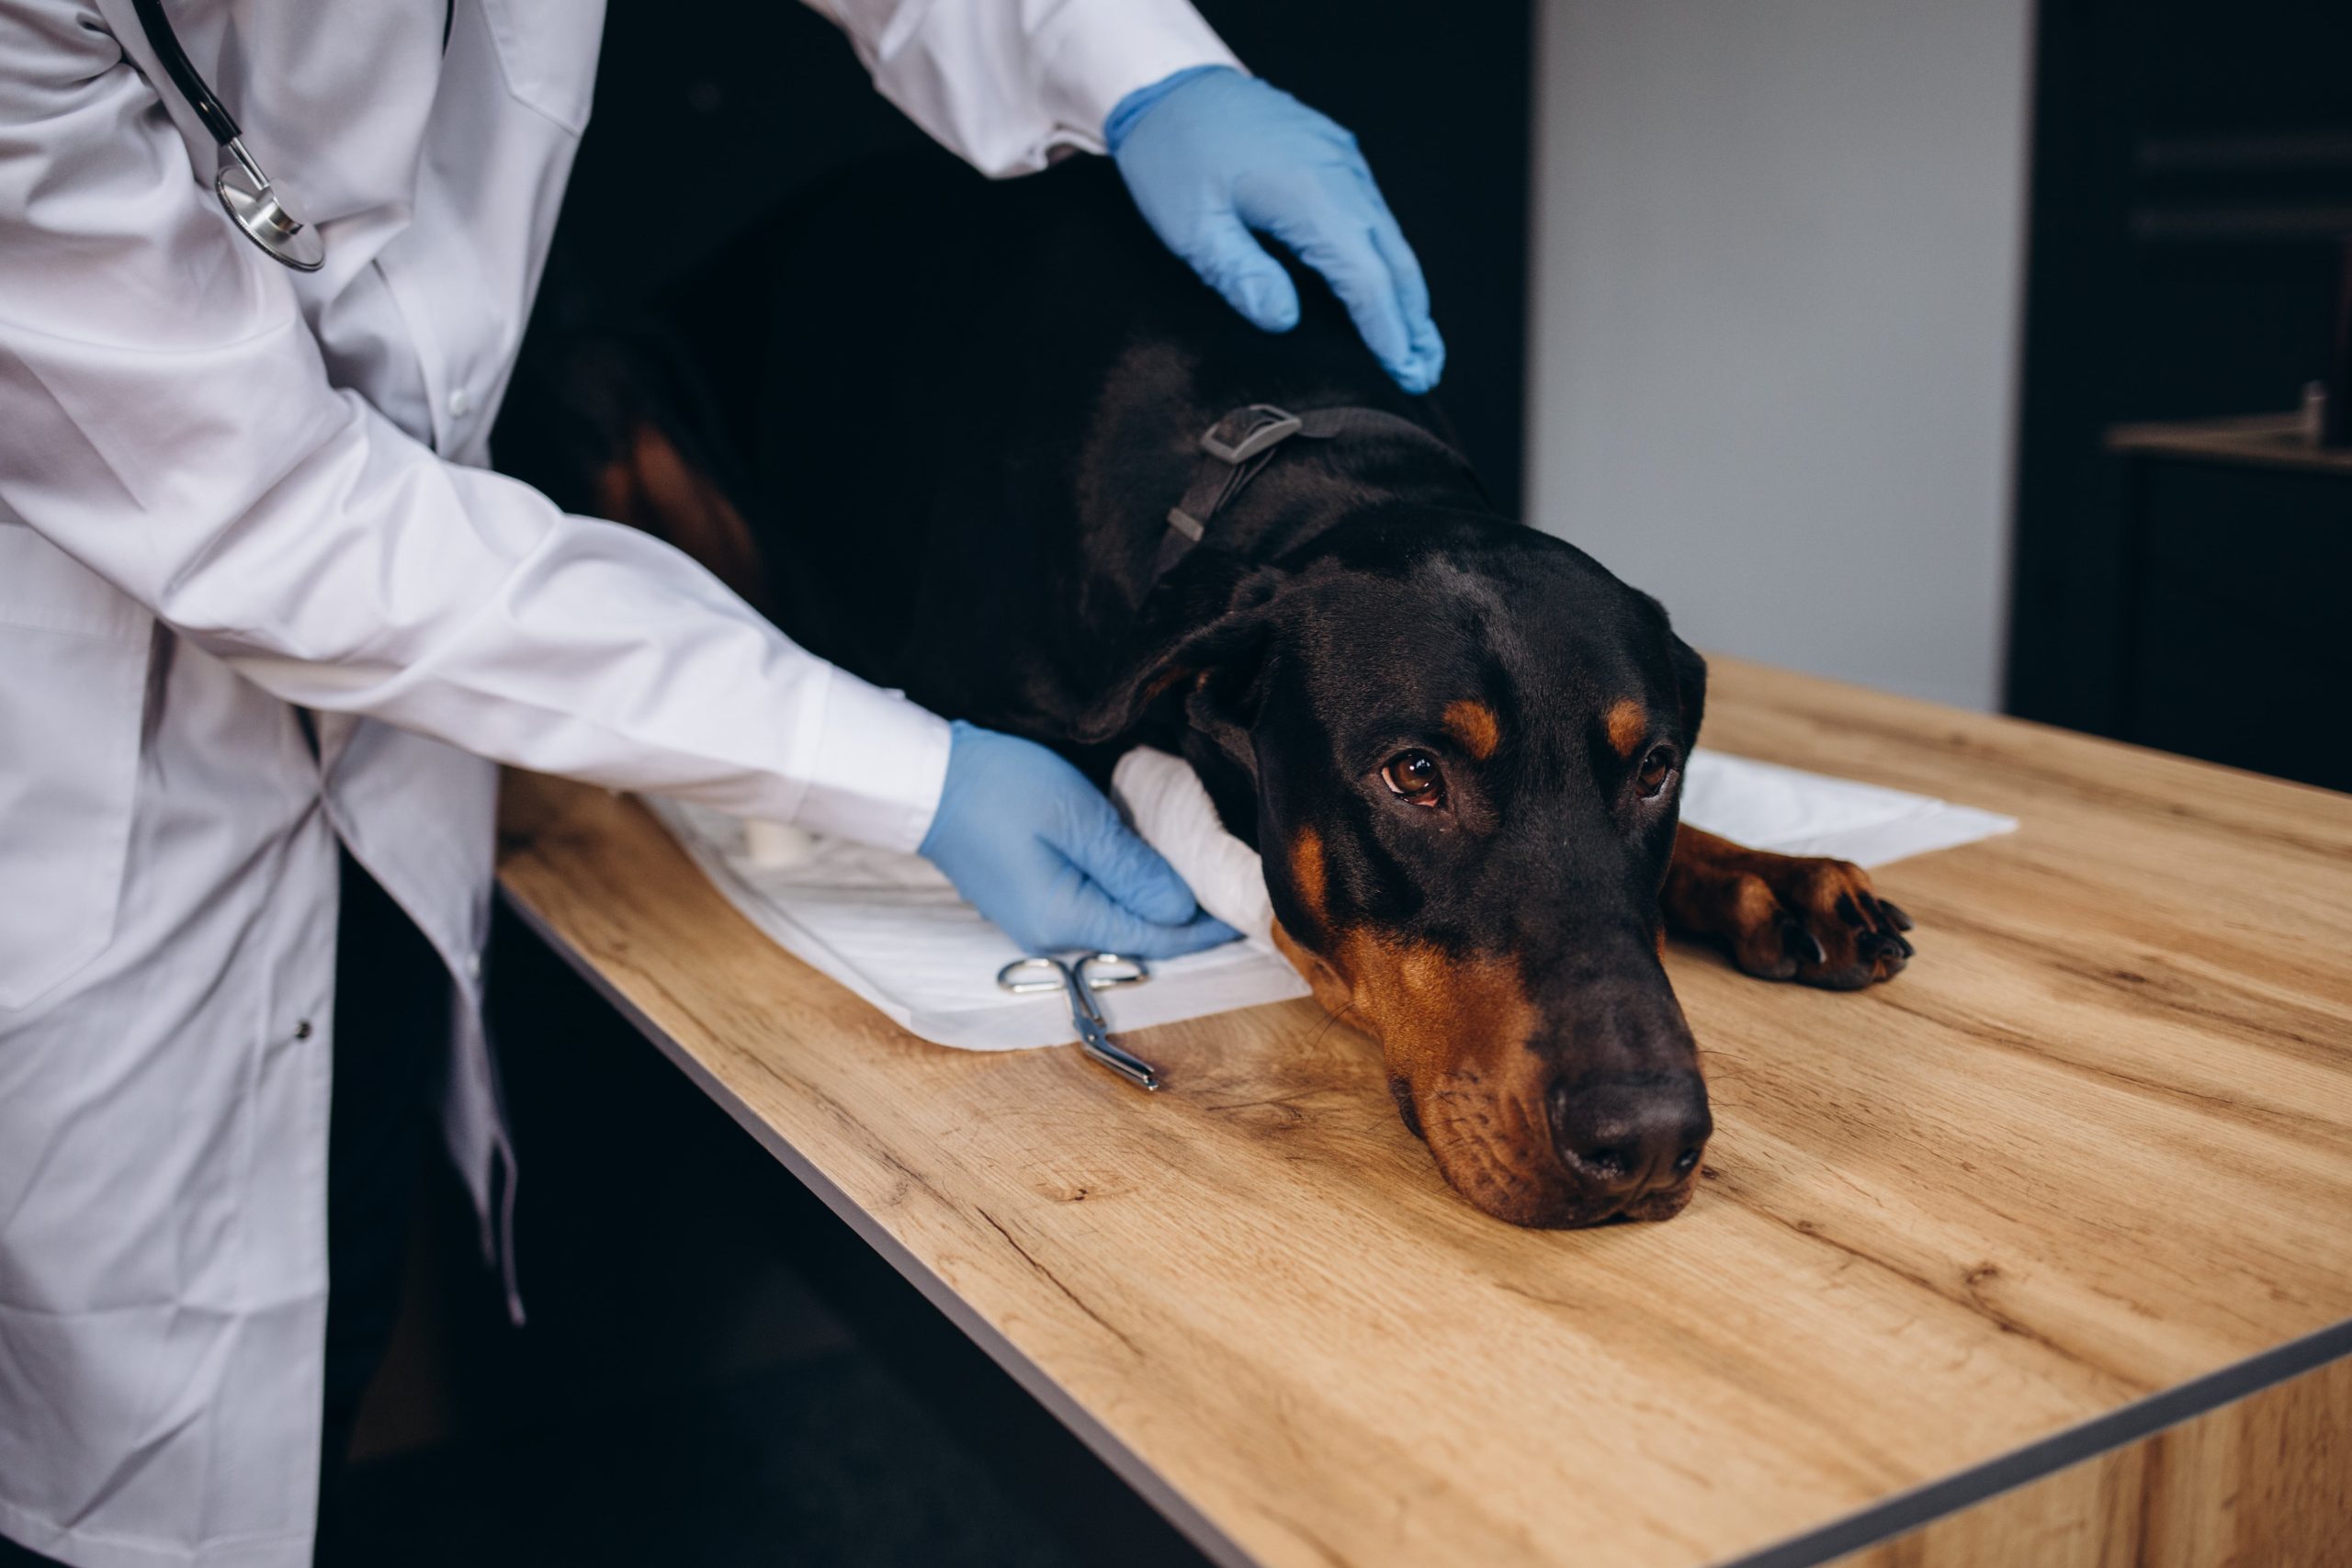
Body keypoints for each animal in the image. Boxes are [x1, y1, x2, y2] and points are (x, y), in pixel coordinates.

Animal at [501, 156, 1909, 1241]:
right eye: (1413, 773)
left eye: (1656, 768)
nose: (1650, 1139)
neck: (1289, 454)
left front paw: (1767, 875)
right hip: (597, 382)